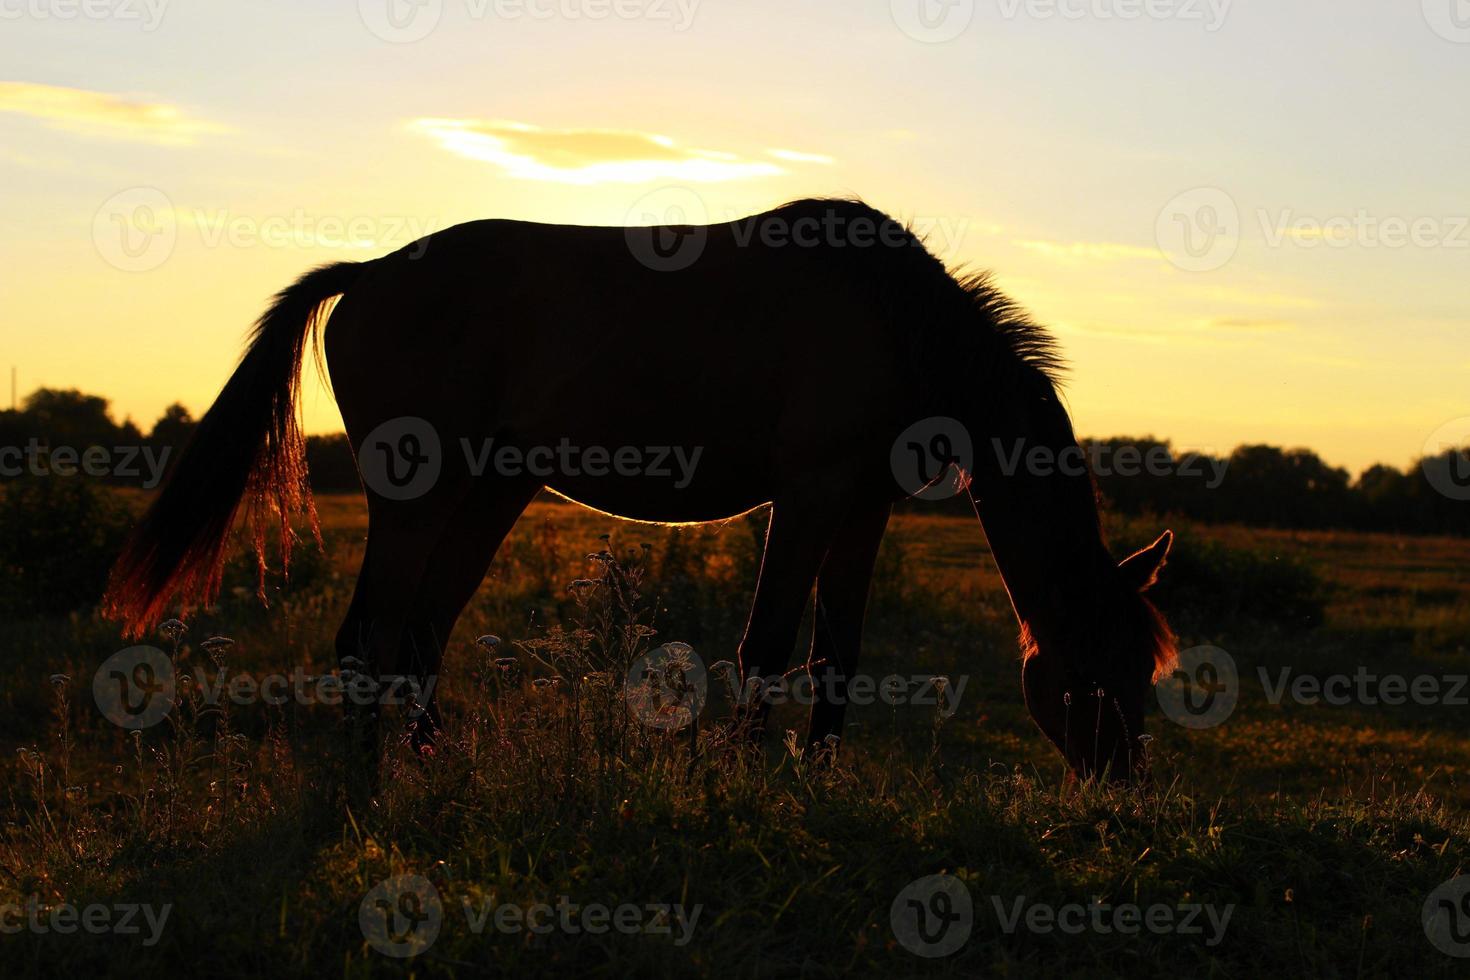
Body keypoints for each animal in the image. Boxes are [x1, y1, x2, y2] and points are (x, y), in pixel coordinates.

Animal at [106, 196, 1170, 781]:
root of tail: (367, 273)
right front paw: (738, 776)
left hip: (488, 495)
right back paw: (369, 785)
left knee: (421, 633)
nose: (1120, 786)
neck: (898, 323)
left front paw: (817, 775)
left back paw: (436, 764)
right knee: (370, 636)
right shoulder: (810, 495)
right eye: (1097, 665)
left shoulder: (865, 506)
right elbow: (769, 644)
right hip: (418, 496)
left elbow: (839, 652)